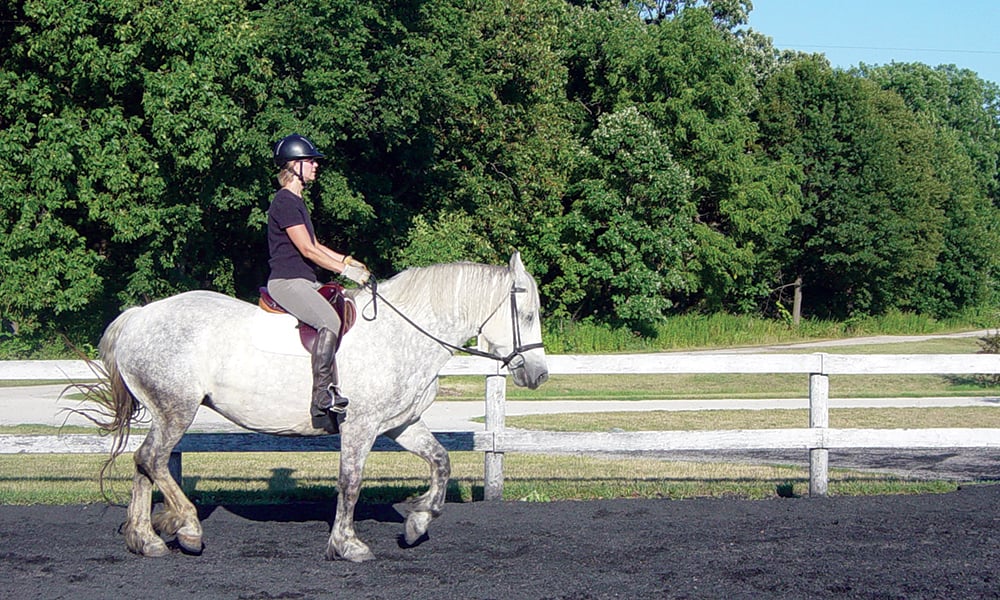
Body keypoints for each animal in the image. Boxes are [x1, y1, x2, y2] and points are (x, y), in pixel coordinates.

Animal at [97, 253, 552, 564]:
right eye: (528, 314)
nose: (539, 374)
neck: (403, 334)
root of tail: (139, 317)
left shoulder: (401, 425)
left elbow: (441, 461)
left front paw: (418, 522)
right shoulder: (360, 426)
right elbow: (350, 482)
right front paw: (347, 544)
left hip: (164, 411)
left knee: (143, 462)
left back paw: (147, 539)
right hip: (176, 408)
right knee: (153, 460)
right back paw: (187, 529)